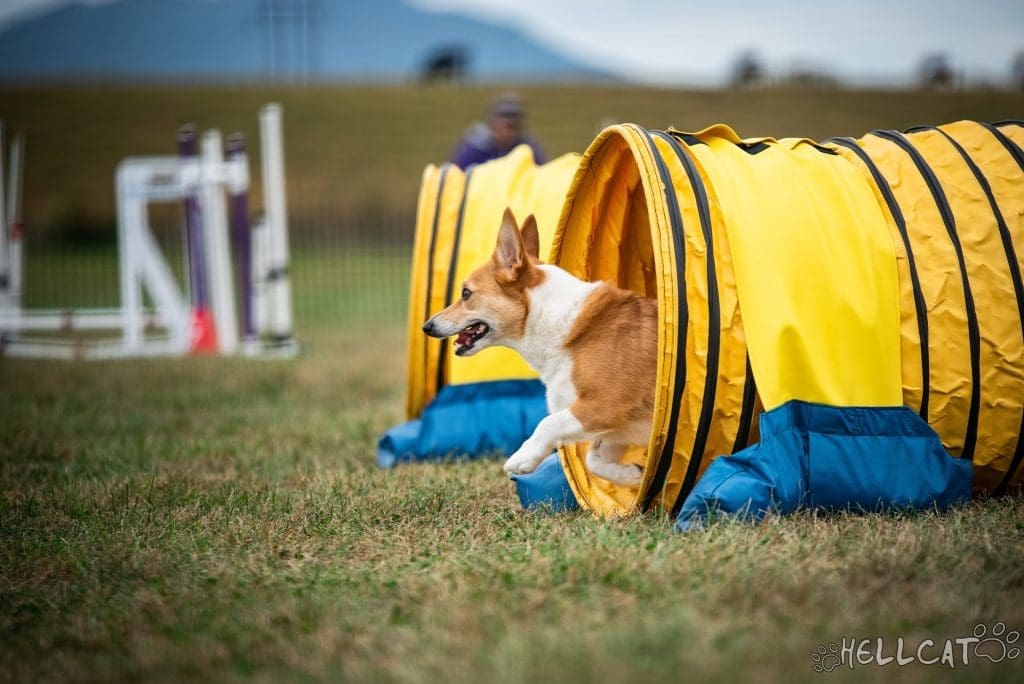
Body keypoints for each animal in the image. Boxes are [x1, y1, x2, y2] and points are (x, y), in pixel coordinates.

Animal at [421, 208, 655, 485]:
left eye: (466, 294)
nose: (427, 326)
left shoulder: (605, 404)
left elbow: (549, 423)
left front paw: (523, 458)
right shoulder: (615, 427)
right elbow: (593, 460)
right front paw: (634, 476)